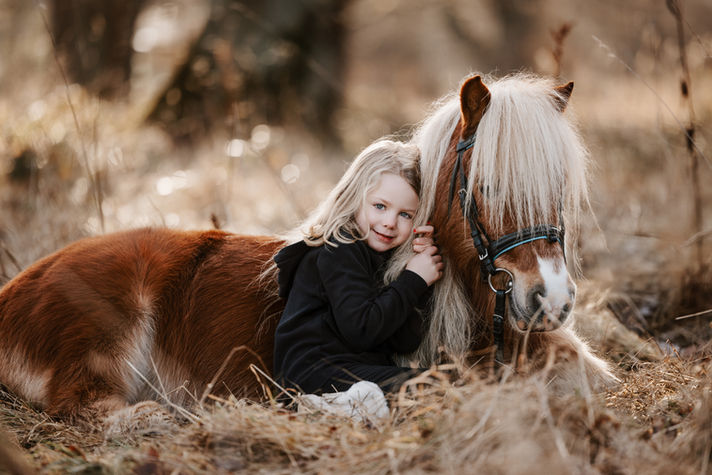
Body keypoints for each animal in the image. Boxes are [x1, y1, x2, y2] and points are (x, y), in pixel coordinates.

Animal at [0, 73, 616, 419]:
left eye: (558, 187)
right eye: (486, 186)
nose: (552, 300)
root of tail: (16, 289)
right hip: (107, 343)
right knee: (91, 408)